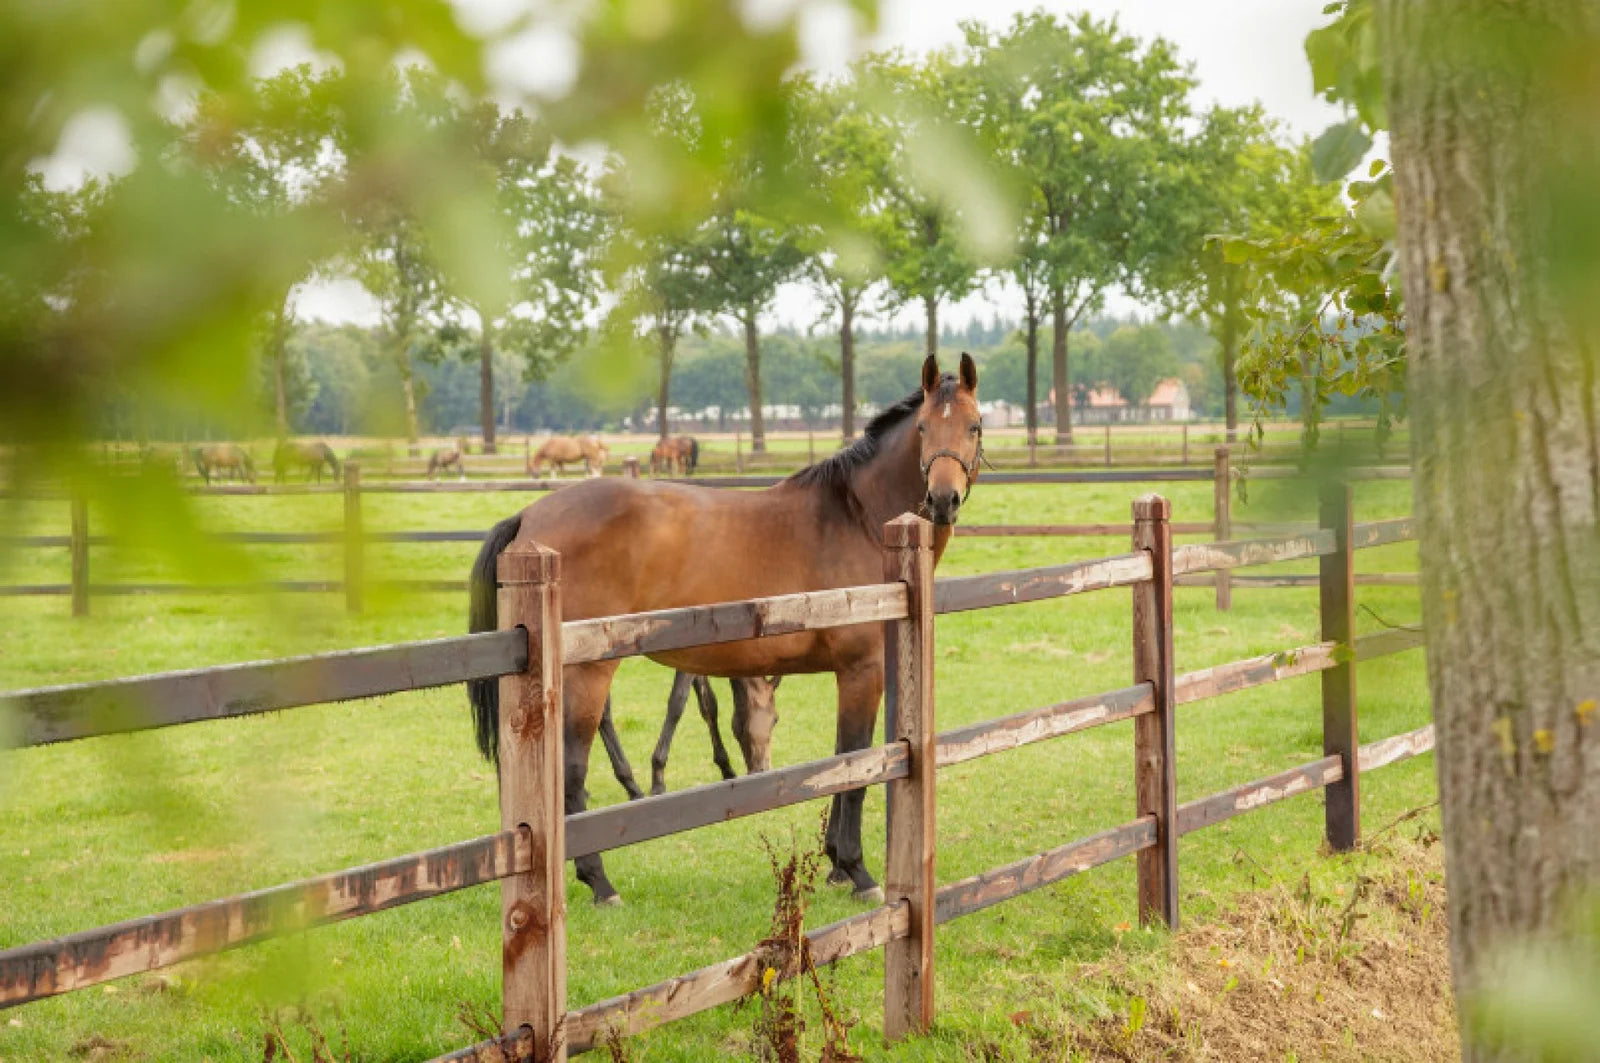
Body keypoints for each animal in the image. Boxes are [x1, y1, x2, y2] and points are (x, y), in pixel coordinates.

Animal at [597, 673, 782, 800]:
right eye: (775, 719)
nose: (764, 768)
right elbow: (677, 702)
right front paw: (658, 779)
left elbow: (708, 705)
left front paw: (725, 767)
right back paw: (630, 784)